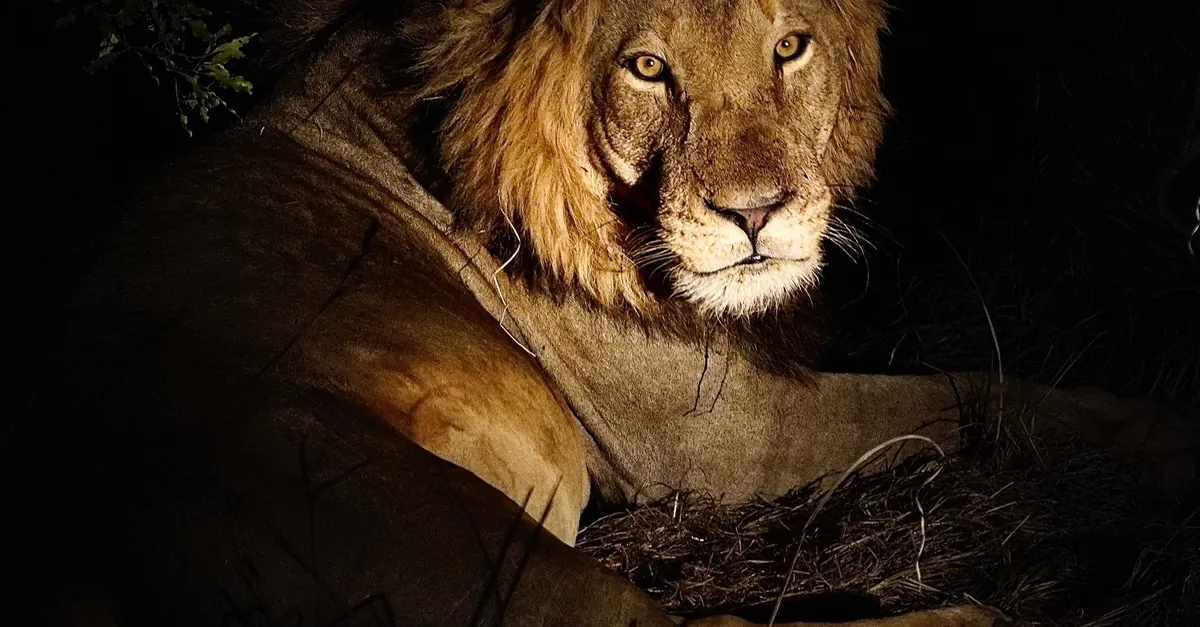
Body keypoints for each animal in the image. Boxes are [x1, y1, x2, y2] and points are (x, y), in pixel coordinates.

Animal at [51, 0, 1196, 626]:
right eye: (647, 67)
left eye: (791, 47)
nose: (756, 215)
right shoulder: (721, 439)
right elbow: (976, 392)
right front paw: (1158, 431)